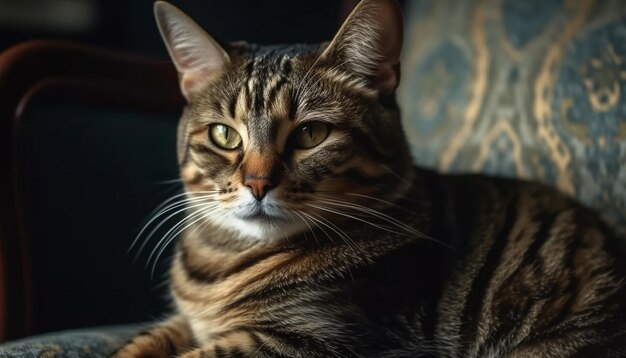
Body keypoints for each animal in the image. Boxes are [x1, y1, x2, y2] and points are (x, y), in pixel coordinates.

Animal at [112, 1, 624, 356]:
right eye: (224, 135)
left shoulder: (329, 338)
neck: (223, 263)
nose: (257, 184)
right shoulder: (185, 322)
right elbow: (141, 342)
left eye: (310, 134)